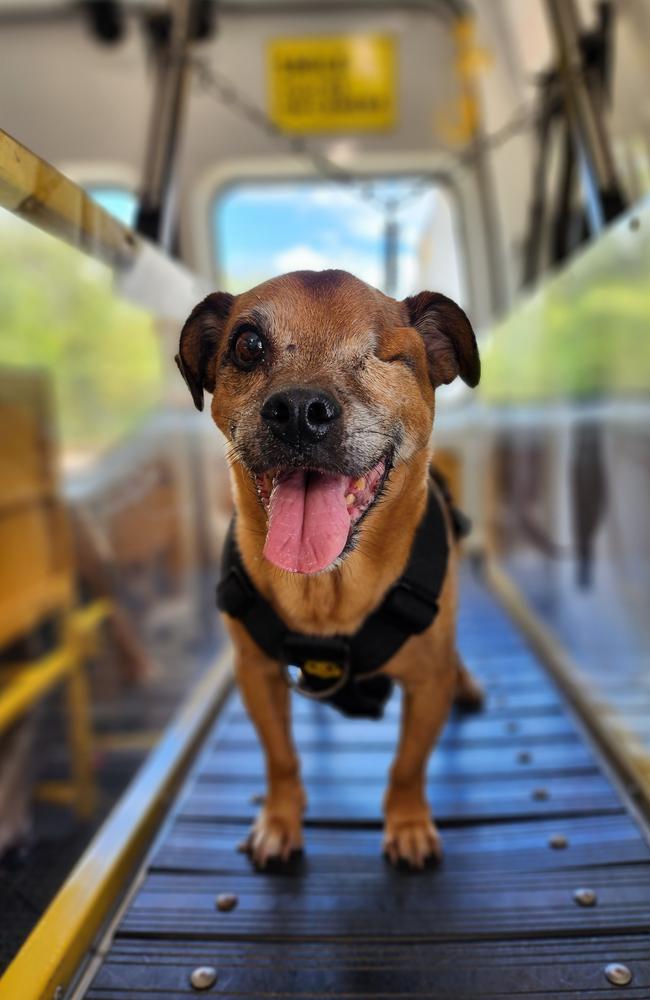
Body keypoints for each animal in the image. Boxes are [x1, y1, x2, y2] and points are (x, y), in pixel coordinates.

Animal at [177, 272, 480, 868]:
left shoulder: (426, 682)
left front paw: (408, 824)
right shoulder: (256, 675)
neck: (328, 589)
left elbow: (408, 765)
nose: (298, 410)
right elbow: (280, 758)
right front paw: (279, 821)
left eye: (386, 354)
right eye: (248, 345)